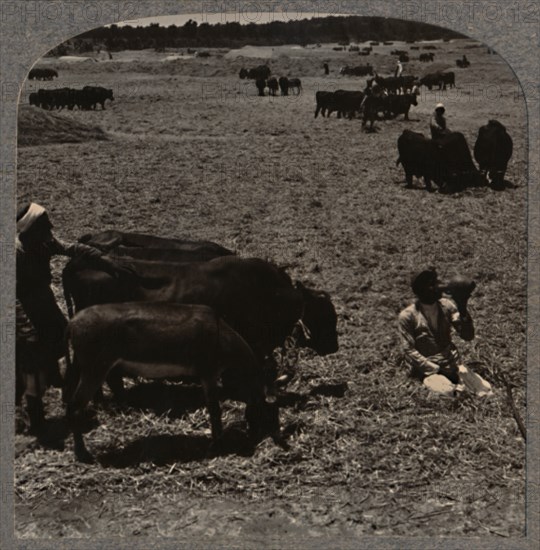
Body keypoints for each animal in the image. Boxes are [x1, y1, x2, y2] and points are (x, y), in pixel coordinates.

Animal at [65, 304, 280, 464]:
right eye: (270, 412)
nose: (259, 437)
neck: (220, 335)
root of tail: (72, 323)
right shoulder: (208, 374)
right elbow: (214, 409)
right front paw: (217, 444)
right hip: (94, 370)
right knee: (75, 407)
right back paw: (83, 454)